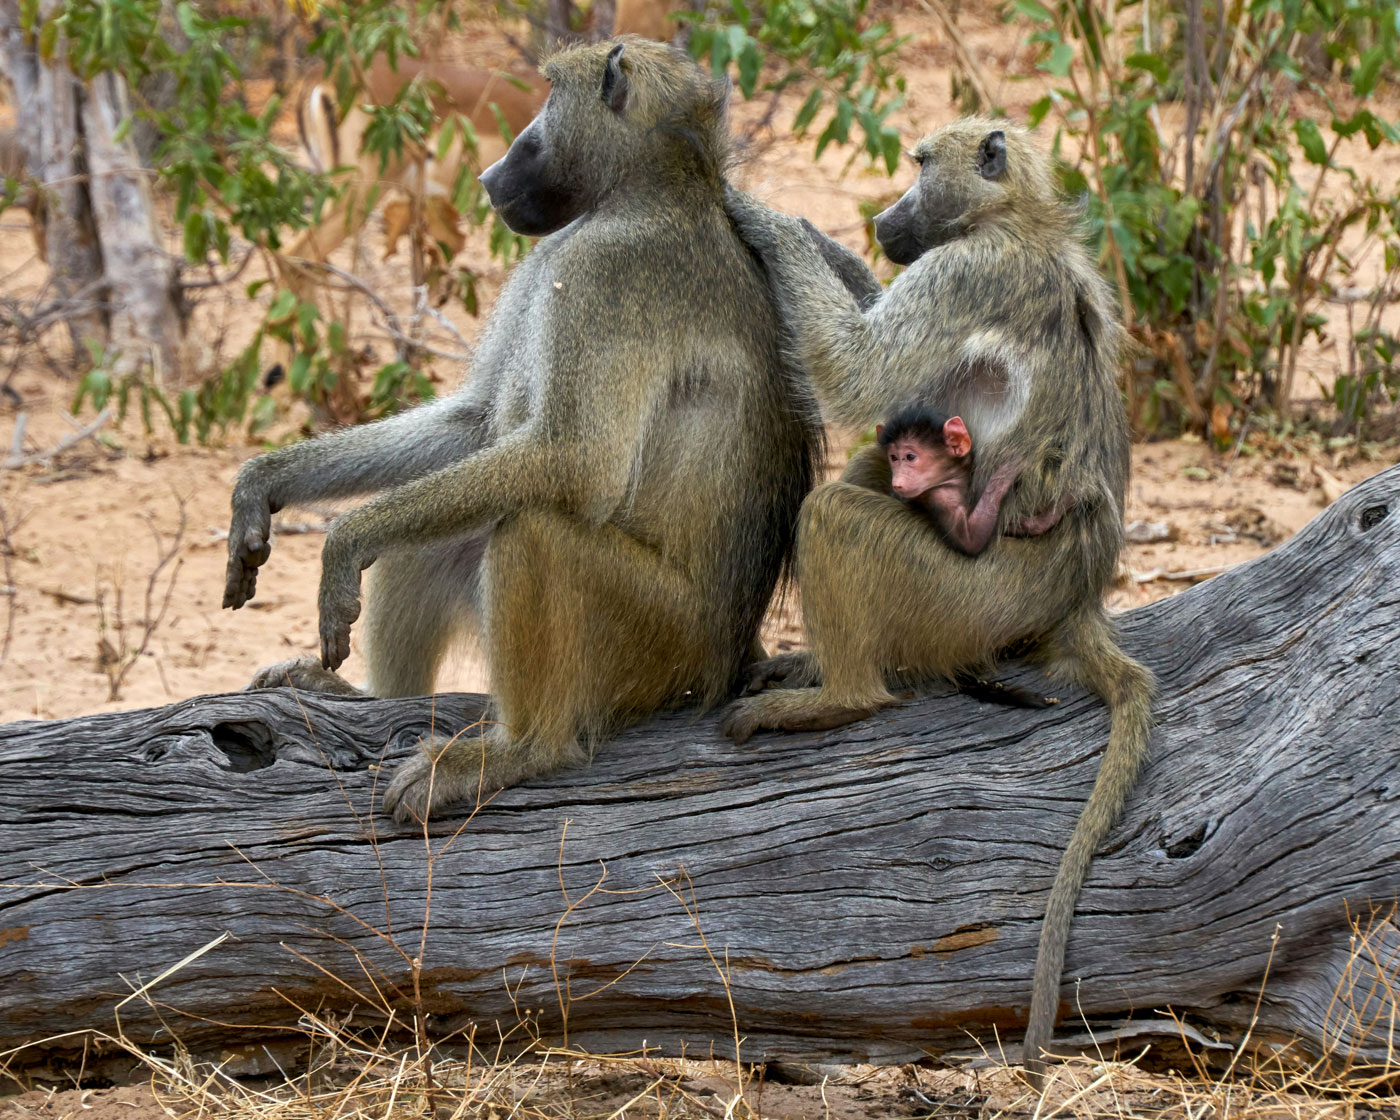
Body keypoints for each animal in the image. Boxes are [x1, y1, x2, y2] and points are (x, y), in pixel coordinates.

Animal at [223, 37, 827, 825]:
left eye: (546, 96)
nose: (489, 171)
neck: (652, 192)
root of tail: (737, 653)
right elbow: (475, 424)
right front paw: (263, 485)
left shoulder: (604, 272)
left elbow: (574, 464)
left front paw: (342, 540)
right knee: (430, 536)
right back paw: (366, 696)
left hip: (665, 642)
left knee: (533, 527)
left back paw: (518, 751)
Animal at [876, 406, 1073, 555]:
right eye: (894, 457)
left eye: (909, 457)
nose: (897, 482)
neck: (951, 479)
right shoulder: (942, 496)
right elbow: (971, 542)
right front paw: (1009, 469)